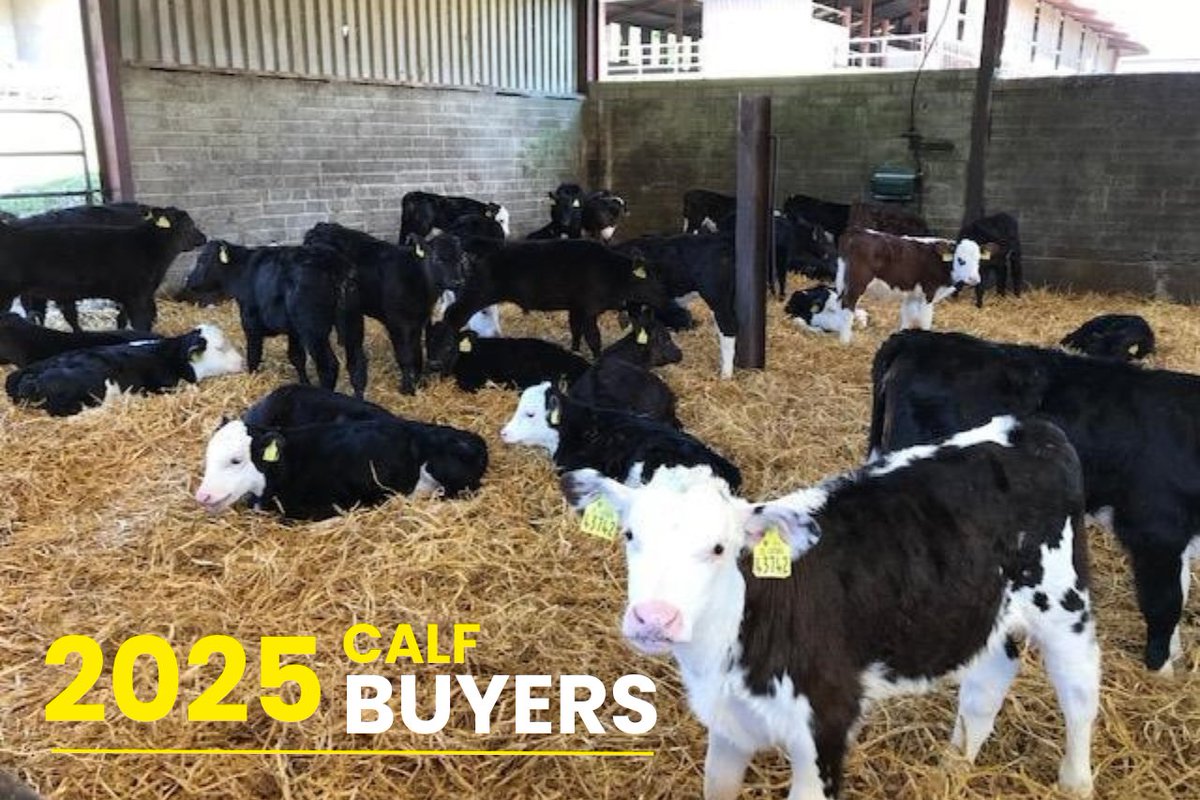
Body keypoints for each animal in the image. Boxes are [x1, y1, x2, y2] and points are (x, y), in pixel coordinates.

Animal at [0, 206, 206, 332]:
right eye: (189, 225)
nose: (203, 238)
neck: (147, 246)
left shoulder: (132, 296)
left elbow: (124, 319)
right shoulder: (137, 296)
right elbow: (141, 324)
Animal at [183, 241, 367, 398]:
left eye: (201, 261)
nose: (189, 280)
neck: (243, 270)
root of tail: (332, 263)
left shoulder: (251, 323)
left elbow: (254, 355)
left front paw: (252, 378)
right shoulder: (293, 331)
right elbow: (296, 357)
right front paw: (304, 383)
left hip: (314, 331)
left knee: (329, 367)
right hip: (353, 322)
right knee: (357, 366)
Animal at [439, 239, 669, 359]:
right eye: (653, 281)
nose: (666, 300)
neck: (613, 273)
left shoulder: (576, 307)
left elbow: (576, 330)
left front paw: (575, 350)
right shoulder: (589, 309)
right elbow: (593, 337)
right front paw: (597, 359)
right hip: (476, 294)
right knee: (453, 315)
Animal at [559, 416, 1099, 799]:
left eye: (719, 548)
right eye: (630, 536)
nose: (654, 619)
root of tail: (1032, 429)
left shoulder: (824, 727)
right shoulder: (729, 723)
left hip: (1066, 608)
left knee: (1079, 698)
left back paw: (1075, 783)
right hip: (987, 612)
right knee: (986, 685)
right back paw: (954, 766)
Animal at [834, 229, 987, 344]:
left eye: (978, 260)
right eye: (961, 260)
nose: (974, 279)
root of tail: (857, 232)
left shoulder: (912, 294)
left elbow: (908, 317)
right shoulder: (929, 292)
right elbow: (925, 319)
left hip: (843, 282)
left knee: (839, 303)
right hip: (857, 283)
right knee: (848, 305)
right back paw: (845, 341)